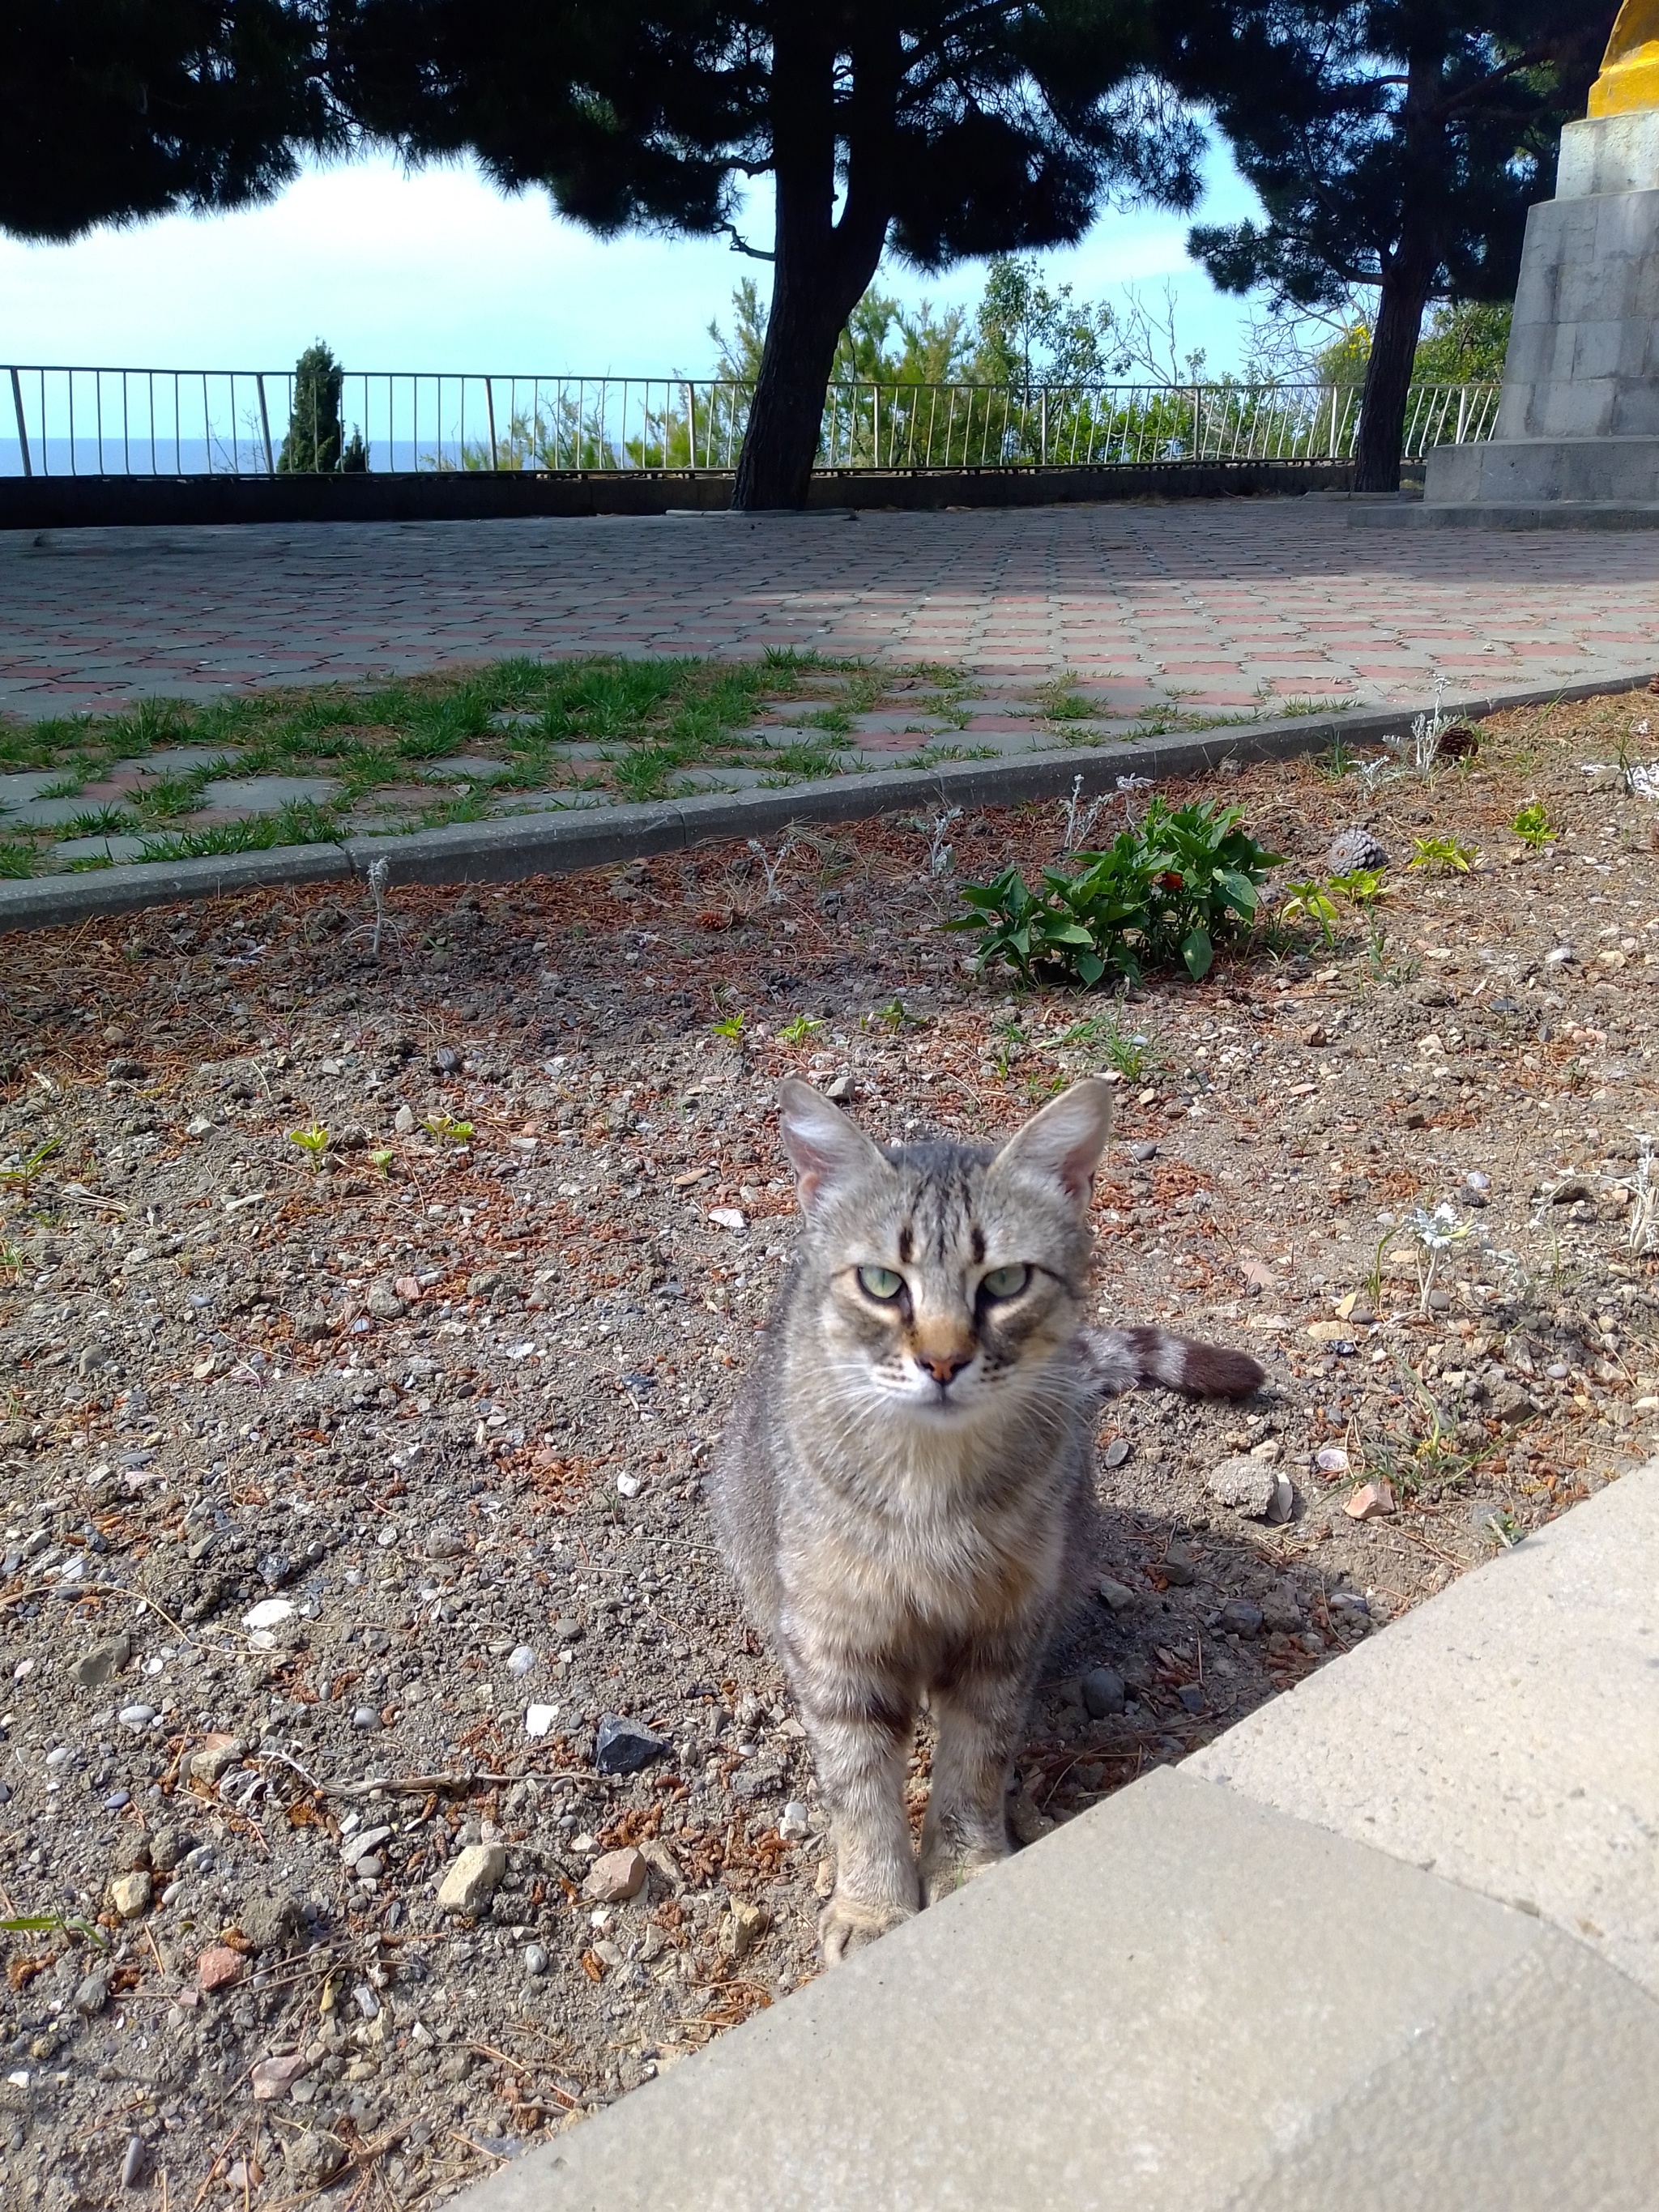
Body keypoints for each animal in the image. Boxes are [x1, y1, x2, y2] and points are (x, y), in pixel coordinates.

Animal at [712, 1079, 1256, 1964]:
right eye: (881, 1281)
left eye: (1003, 1282)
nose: (941, 1360)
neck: (927, 1486)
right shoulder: (837, 1637)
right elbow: (859, 1786)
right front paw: (873, 1905)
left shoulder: (1004, 1632)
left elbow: (974, 1763)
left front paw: (967, 1870)